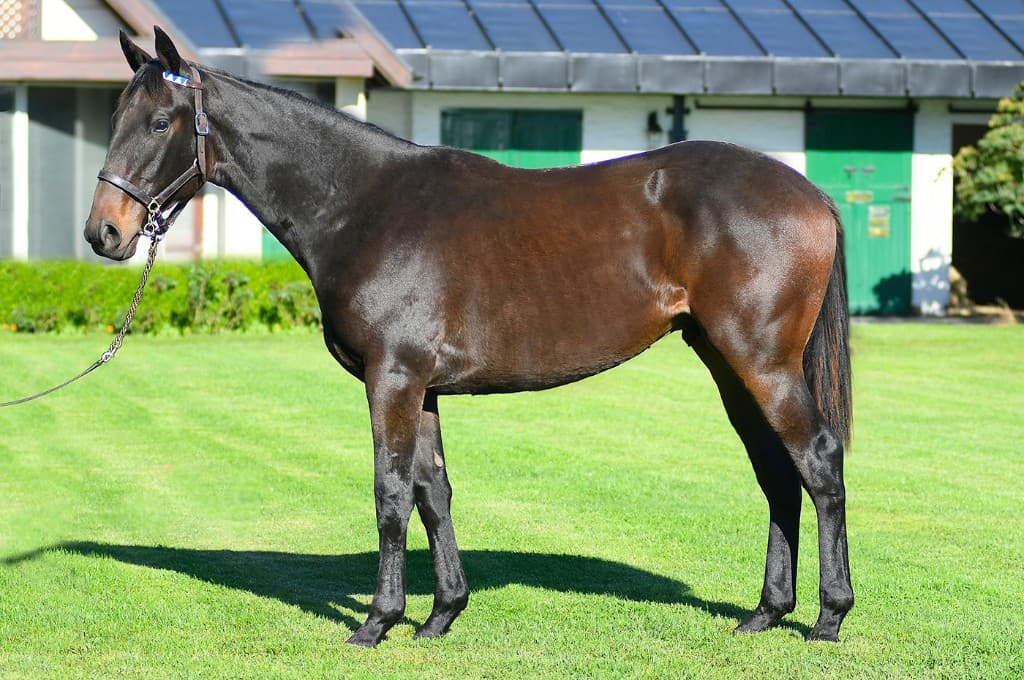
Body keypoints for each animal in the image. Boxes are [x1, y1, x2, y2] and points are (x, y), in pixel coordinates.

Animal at [84, 29, 853, 648]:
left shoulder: (391, 378)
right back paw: (764, 614)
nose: (104, 233)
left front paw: (377, 622)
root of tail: (811, 196)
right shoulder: (420, 387)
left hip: (762, 364)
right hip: (728, 364)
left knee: (817, 460)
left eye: (160, 121)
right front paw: (440, 614)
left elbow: (390, 493)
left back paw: (828, 617)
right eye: (114, 117)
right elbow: (433, 491)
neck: (362, 205)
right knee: (777, 473)